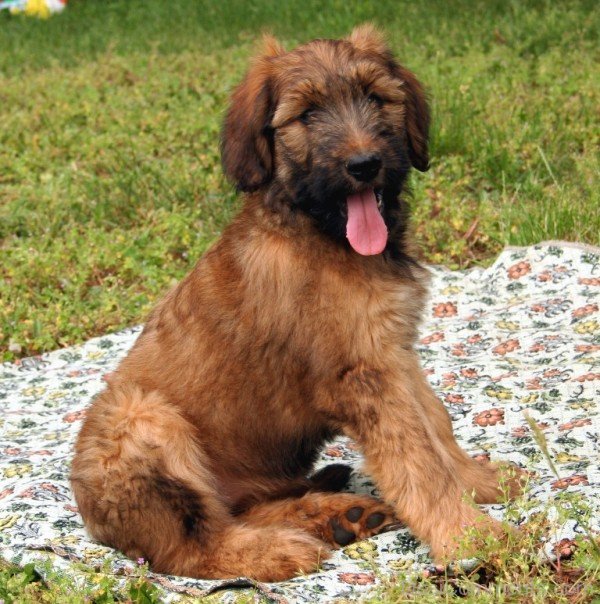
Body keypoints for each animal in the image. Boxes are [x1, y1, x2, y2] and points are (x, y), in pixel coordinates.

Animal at [71, 24, 520, 580]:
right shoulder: (362, 375)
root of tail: (95, 523)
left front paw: (477, 483)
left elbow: (435, 424)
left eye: (376, 98)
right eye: (307, 114)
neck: (320, 232)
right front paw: (473, 538)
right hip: (142, 420)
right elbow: (417, 462)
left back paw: (339, 516)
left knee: (239, 512)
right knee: (190, 548)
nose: (364, 165)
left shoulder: (392, 354)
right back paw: (276, 550)